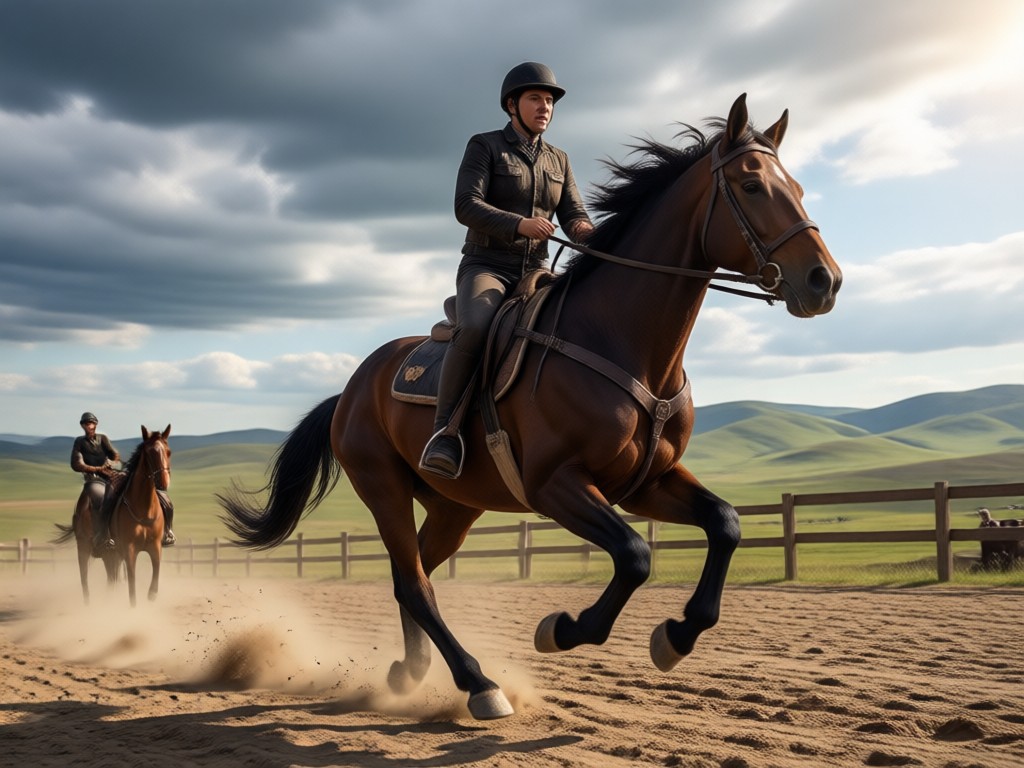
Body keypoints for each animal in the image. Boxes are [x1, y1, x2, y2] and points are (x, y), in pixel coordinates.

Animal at [105, 425, 172, 606]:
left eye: (168, 452)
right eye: (149, 453)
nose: (163, 482)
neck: (144, 510)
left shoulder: (155, 546)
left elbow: (156, 572)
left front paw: (151, 595)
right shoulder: (130, 550)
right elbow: (132, 584)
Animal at [219, 94, 842, 719]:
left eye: (800, 189)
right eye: (752, 185)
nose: (825, 281)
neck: (620, 340)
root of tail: (350, 389)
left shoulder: (646, 482)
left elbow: (725, 524)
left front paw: (677, 635)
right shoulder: (555, 484)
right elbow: (635, 554)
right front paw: (563, 629)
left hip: (455, 506)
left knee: (413, 572)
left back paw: (411, 672)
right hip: (384, 488)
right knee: (414, 582)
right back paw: (479, 684)